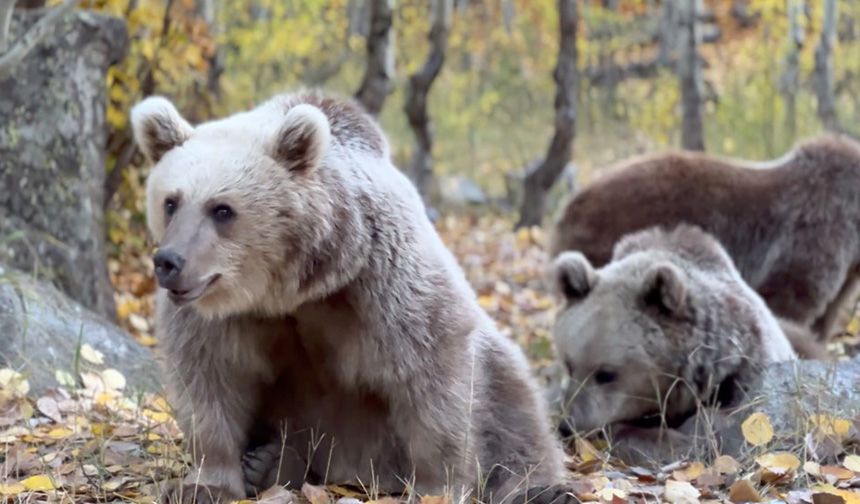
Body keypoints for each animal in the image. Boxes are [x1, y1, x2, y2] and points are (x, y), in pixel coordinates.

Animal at [129, 92, 572, 504]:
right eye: (171, 202)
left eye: (222, 209)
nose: (169, 261)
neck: (290, 289)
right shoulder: (216, 318)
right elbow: (209, 383)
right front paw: (204, 484)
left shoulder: (381, 281)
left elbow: (433, 377)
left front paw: (436, 487)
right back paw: (270, 463)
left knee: (515, 403)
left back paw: (540, 487)